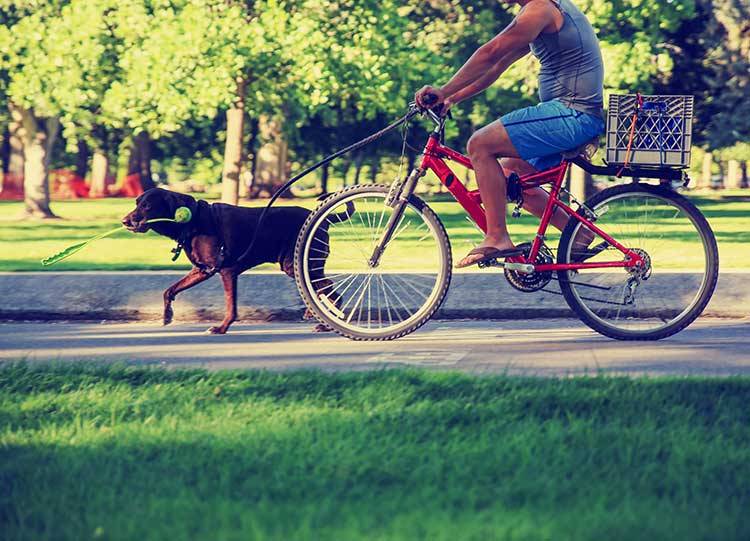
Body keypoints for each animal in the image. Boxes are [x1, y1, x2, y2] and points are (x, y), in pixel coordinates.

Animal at [124, 190, 346, 334]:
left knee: (328, 287)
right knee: (323, 288)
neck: (193, 220)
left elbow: (231, 306)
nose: (125, 221)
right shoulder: (202, 270)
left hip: (297, 263)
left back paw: (326, 322)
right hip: (299, 264)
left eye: (147, 205)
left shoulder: (227, 271)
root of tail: (325, 220)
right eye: (136, 202)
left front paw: (222, 328)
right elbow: (169, 291)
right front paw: (166, 315)